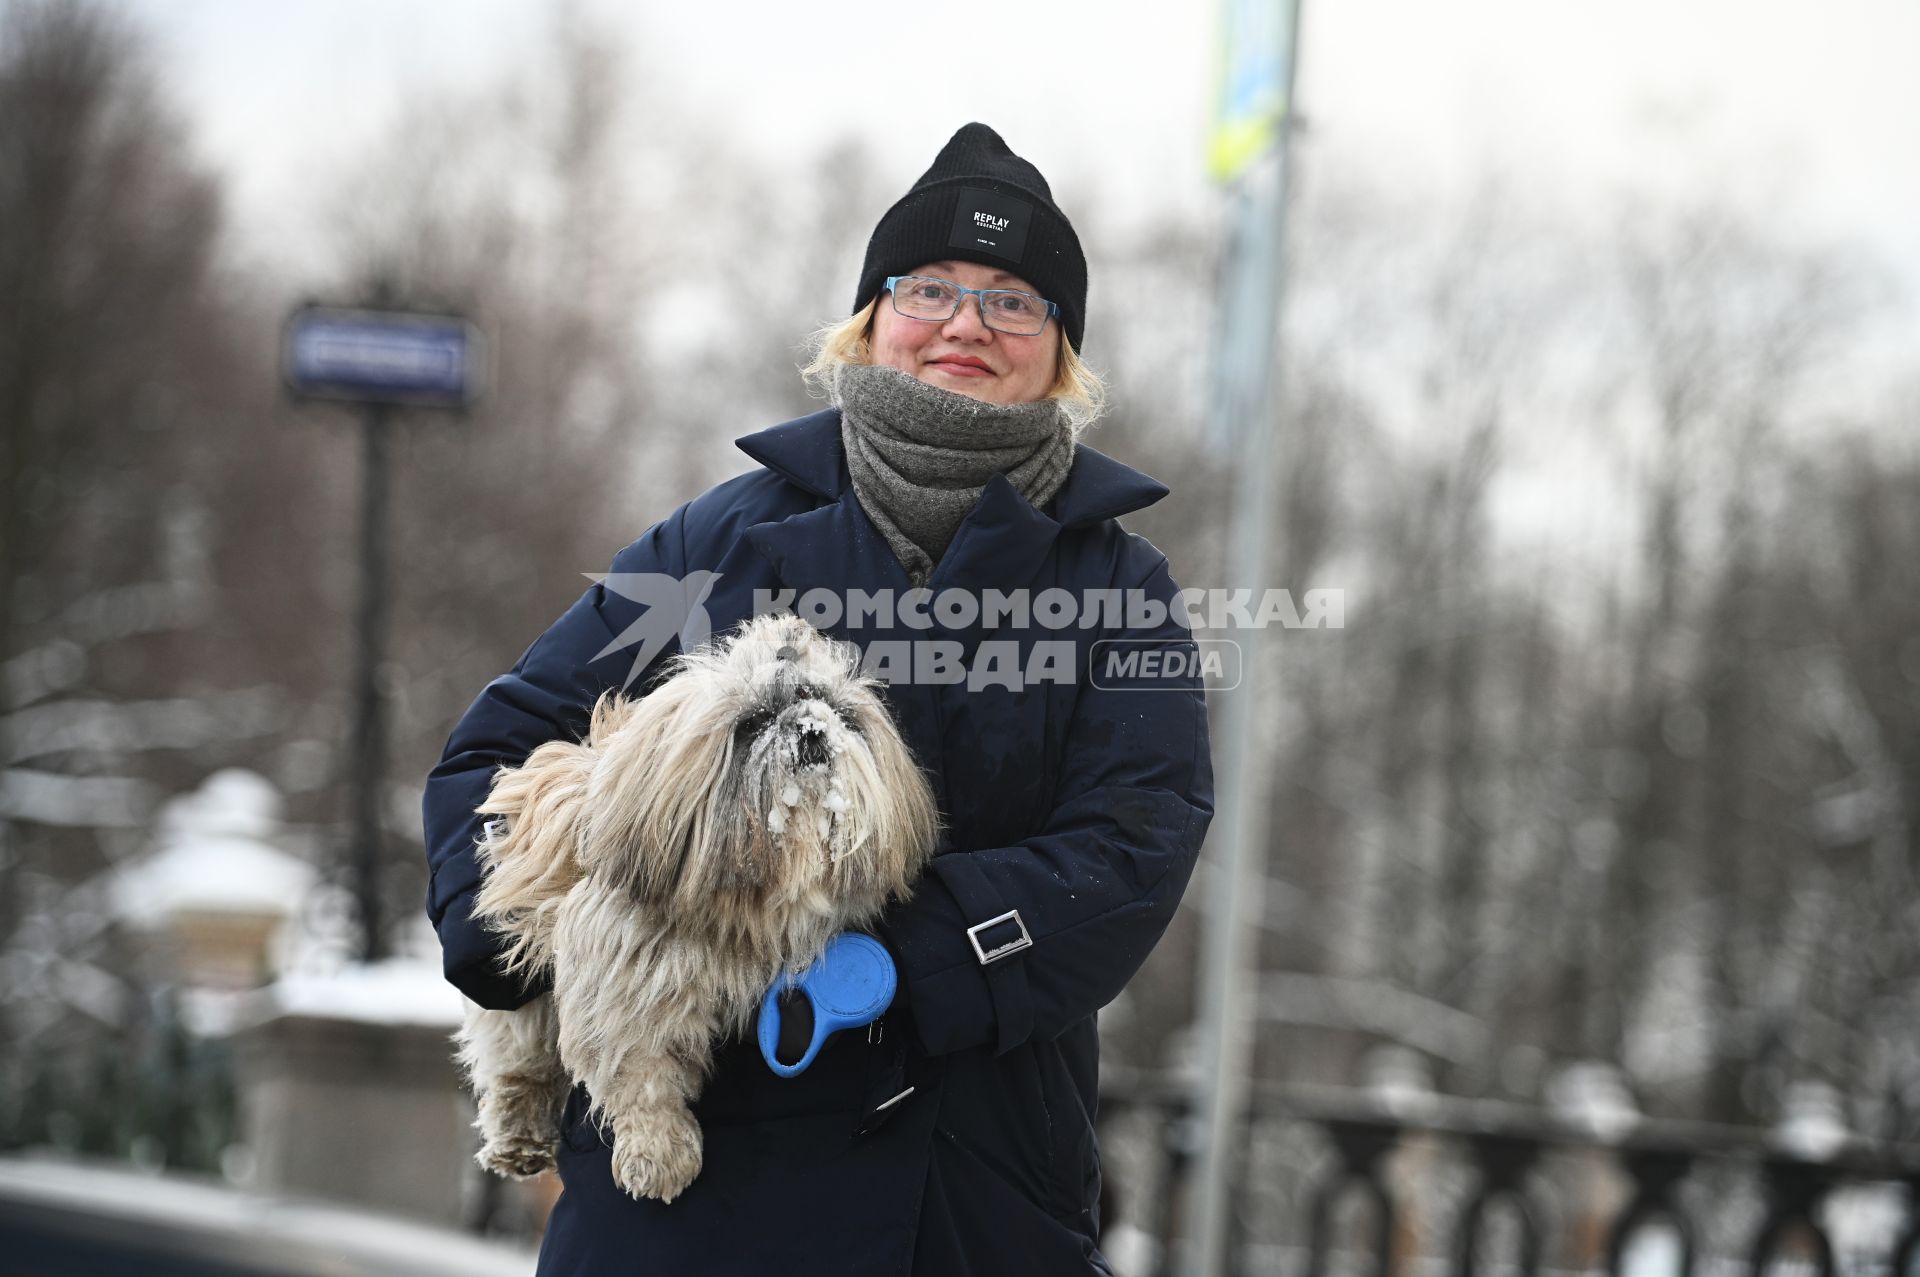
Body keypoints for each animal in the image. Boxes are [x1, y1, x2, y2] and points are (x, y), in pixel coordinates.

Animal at [449, 614, 929, 1198]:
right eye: (755, 721)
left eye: (830, 708)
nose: (813, 729)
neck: (748, 902)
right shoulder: (623, 981)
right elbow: (642, 1075)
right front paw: (659, 1154)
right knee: (518, 1062)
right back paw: (517, 1137)